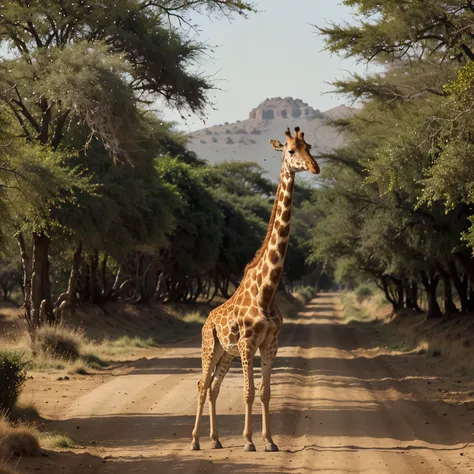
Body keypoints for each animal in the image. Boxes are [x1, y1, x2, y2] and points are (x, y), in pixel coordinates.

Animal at [191, 125, 320, 452]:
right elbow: (248, 392)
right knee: (202, 385)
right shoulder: (248, 343)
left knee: (214, 387)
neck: (268, 290)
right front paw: (249, 441)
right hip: (209, 347)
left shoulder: (271, 343)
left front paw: (270, 441)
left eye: (310, 147)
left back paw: (215, 440)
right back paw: (195, 440)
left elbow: (264, 392)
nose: (315, 167)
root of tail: (206, 320)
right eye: (291, 151)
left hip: (225, 353)